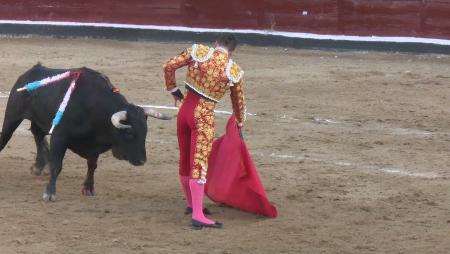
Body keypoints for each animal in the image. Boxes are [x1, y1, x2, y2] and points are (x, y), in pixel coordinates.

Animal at [0, 64, 171, 201]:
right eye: (130, 134)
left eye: (145, 132)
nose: (142, 161)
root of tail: (31, 72)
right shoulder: (60, 136)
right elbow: (57, 165)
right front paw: (50, 193)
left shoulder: (94, 143)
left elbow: (92, 165)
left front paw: (88, 188)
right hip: (12, 116)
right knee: (6, 137)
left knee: (38, 135)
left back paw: (39, 165)